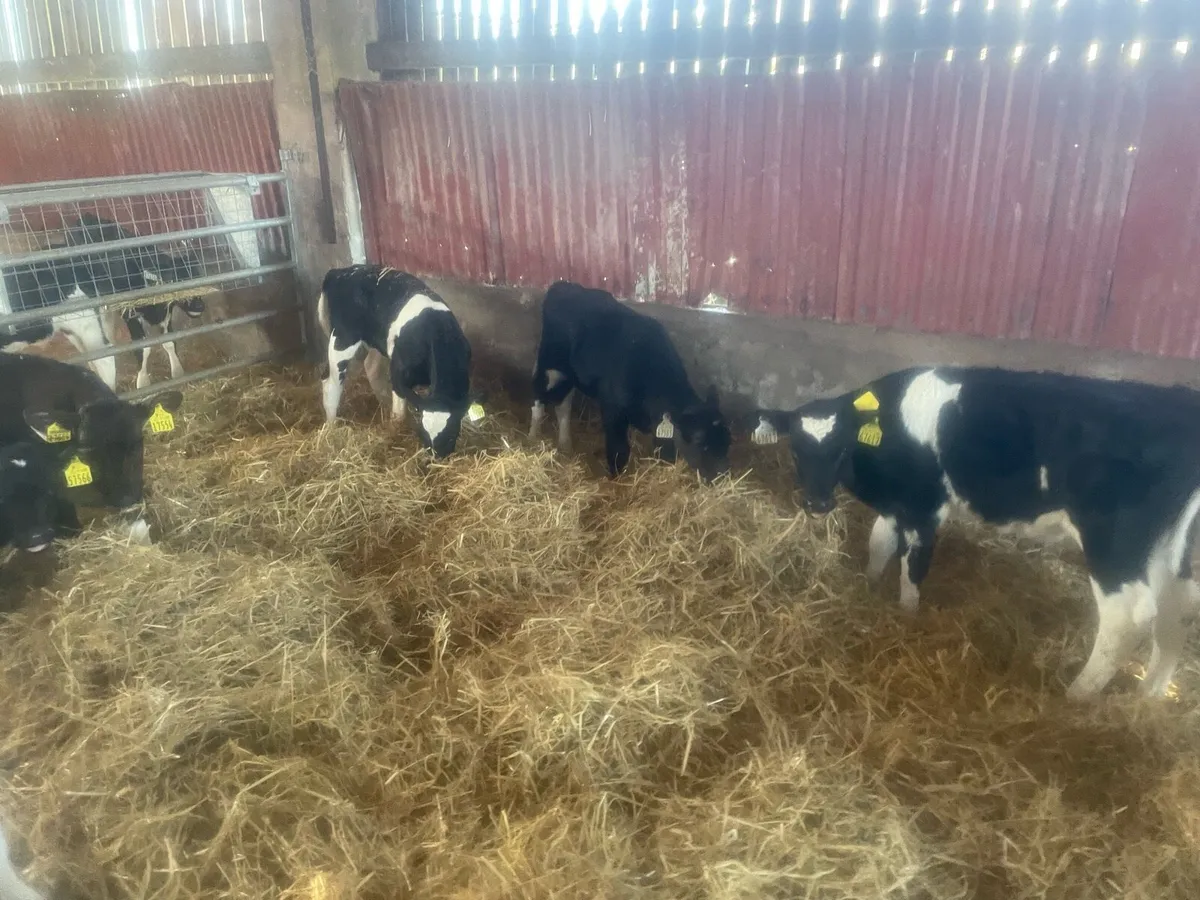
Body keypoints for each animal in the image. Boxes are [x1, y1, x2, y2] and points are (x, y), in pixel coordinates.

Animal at [317, 264, 475, 458]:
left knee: (370, 366)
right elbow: (399, 413)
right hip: (342, 339)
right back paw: (331, 426)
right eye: (423, 433)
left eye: (452, 434)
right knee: (331, 381)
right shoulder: (399, 372)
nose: (435, 457)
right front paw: (395, 432)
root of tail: (339, 271)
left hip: (377, 341)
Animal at [530, 281, 731, 481]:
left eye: (728, 439)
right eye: (699, 440)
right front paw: (616, 479)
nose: (721, 476)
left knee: (563, 404)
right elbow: (619, 449)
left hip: (569, 375)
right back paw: (533, 438)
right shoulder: (613, 409)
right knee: (539, 400)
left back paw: (565, 445)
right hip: (549, 363)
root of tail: (562, 285)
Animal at [755, 366, 1200, 700]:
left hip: (1113, 540)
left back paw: (1075, 696)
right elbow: (879, 545)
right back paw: (1145, 702)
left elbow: (912, 568)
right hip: (1165, 553)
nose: (817, 504)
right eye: (795, 449)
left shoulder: (924, 507)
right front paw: (868, 589)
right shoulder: (897, 505)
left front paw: (906, 617)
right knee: (1174, 615)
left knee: (1128, 617)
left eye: (843, 448)